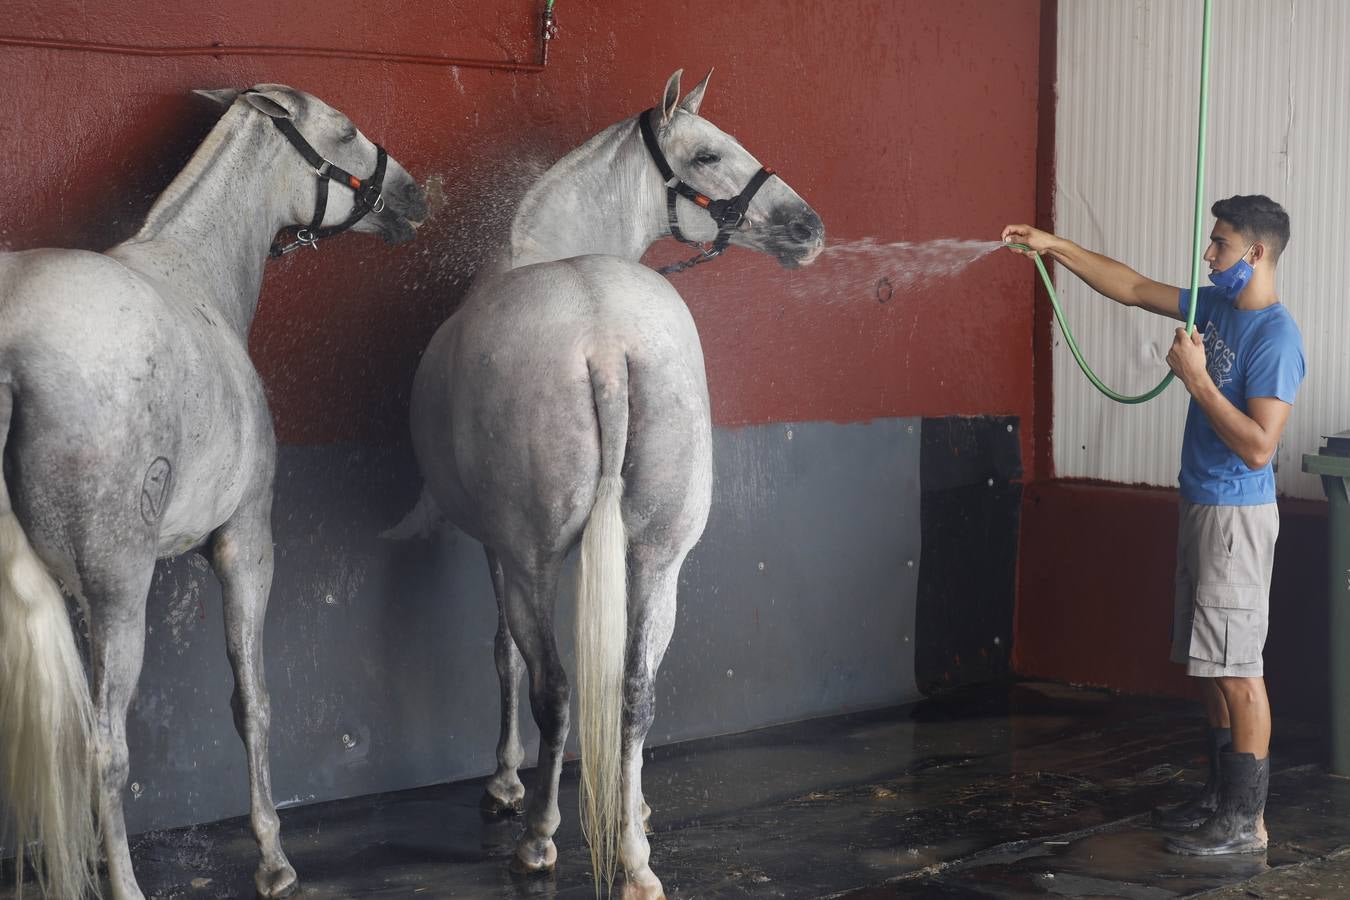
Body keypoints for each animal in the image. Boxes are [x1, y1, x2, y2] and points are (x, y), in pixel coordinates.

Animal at [0, 86, 423, 900]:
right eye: (345, 129)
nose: (416, 197)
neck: (195, 278)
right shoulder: (244, 545)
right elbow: (251, 701)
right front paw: (274, 857)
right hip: (121, 590)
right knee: (105, 749)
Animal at [399, 72, 820, 900]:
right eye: (709, 152)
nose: (808, 227)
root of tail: (604, 337)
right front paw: (637, 807)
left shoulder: (499, 551)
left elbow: (503, 654)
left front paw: (505, 785)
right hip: (659, 559)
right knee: (634, 690)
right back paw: (633, 858)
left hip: (534, 560)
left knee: (556, 687)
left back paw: (538, 837)